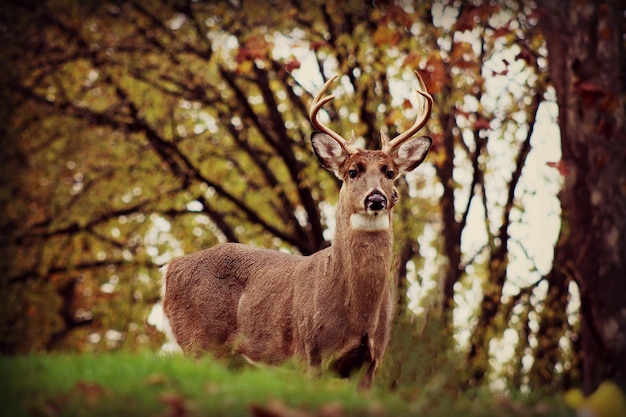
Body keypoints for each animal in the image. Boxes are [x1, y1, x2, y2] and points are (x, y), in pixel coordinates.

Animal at [158, 69, 432, 386]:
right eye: (353, 172)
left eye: (389, 172)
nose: (377, 198)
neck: (357, 314)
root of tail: (169, 269)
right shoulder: (311, 352)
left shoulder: (371, 361)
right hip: (199, 341)